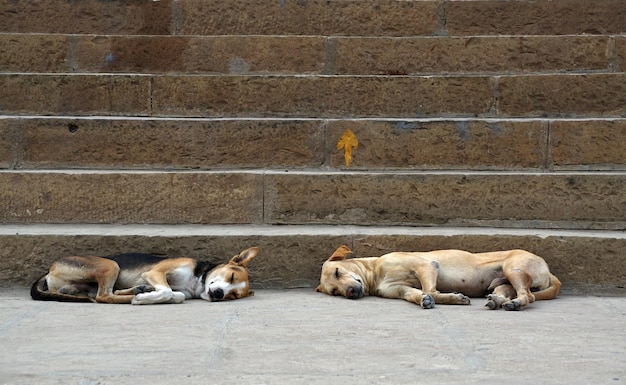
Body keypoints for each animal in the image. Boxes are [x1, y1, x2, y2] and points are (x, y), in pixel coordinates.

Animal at [28, 246, 258, 304]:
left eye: (233, 295)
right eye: (231, 277)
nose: (219, 294)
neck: (196, 282)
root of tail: (50, 269)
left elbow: (177, 295)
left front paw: (151, 295)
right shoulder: (155, 272)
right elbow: (167, 291)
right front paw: (146, 298)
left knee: (104, 294)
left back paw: (137, 290)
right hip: (110, 264)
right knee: (103, 296)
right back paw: (136, 296)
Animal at [316, 246, 560, 308]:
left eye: (337, 272)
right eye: (335, 292)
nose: (350, 292)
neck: (376, 273)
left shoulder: (426, 266)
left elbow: (430, 289)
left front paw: (452, 298)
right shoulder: (401, 289)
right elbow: (417, 294)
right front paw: (424, 300)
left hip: (514, 268)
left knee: (528, 296)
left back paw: (516, 304)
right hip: (503, 283)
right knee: (507, 293)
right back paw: (498, 301)